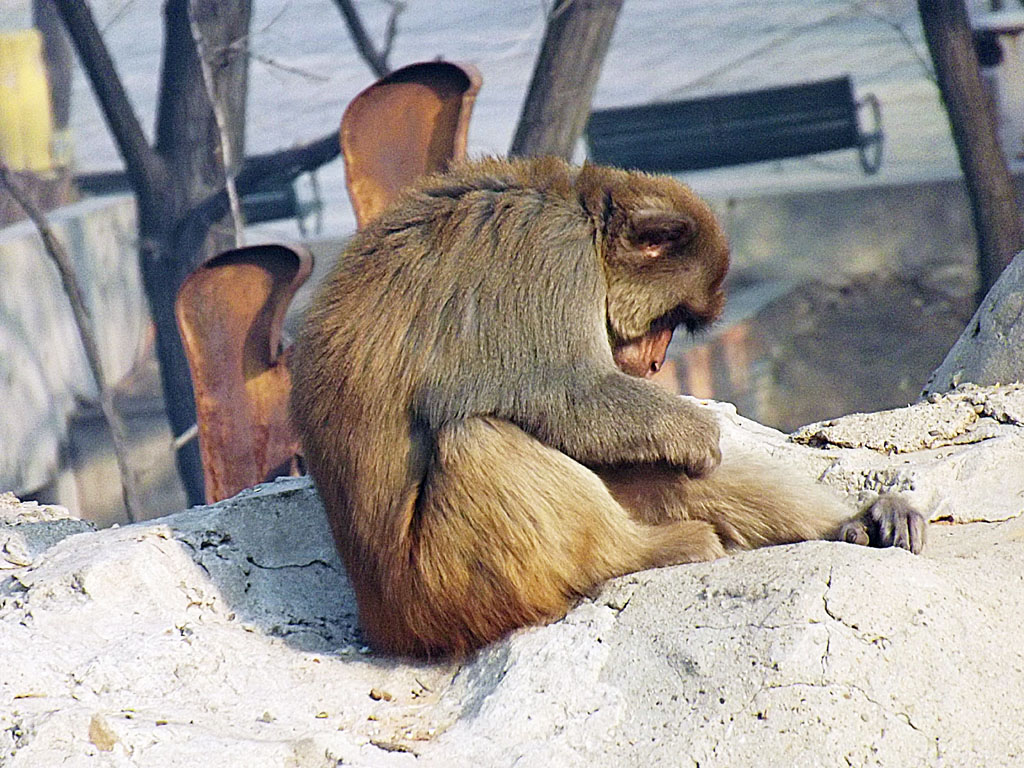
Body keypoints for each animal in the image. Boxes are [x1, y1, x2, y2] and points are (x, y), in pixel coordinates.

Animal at [290, 157, 929, 663]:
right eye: (668, 318)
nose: (656, 363)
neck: (581, 212)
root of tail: (387, 627)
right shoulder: (550, 255)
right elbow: (568, 393)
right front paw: (696, 429)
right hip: (449, 590)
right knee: (481, 437)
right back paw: (643, 550)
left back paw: (849, 523)